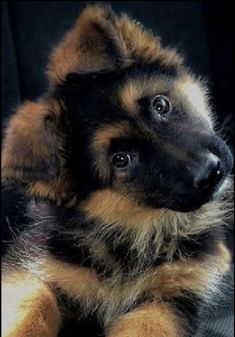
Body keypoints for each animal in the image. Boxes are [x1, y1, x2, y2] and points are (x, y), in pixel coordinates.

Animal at [1, 3, 233, 336]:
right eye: (121, 160)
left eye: (160, 105)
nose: (211, 170)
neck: (133, 230)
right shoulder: (25, 264)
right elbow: (36, 298)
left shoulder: (171, 296)